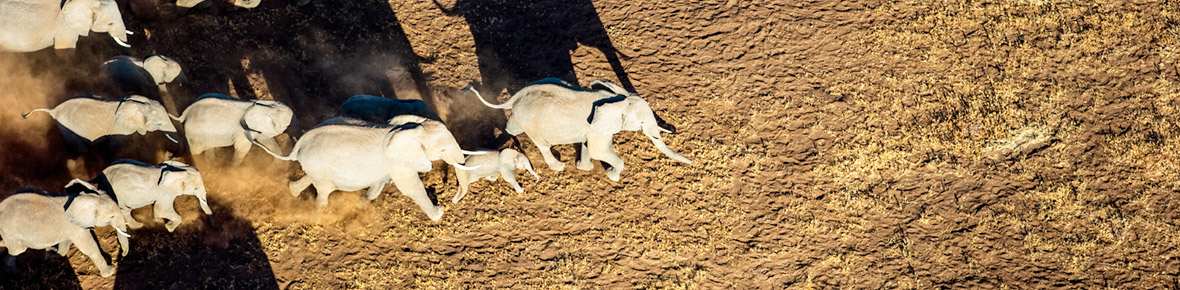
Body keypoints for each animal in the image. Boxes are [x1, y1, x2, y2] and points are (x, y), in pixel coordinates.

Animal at [0, 179, 131, 275]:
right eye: (112, 216)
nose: (121, 257)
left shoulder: (69, 228)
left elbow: (65, 242)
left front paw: (54, 255)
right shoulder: (76, 227)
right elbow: (90, 247)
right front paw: (110, 272)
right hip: (10, 230)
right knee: (18, 250)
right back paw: (15, 272)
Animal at [256, 115, 481, 219]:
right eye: (442, 150)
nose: (449, 201)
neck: (409, 129)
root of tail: (299, 144)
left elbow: (378, 184)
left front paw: (364, 202)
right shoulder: (398, 163)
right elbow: (412, 188)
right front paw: (438, 214)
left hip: (316, 166)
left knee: (316, 181)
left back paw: (293, 191)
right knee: (325, 190)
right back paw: (322, 215)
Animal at [469, 78, 689, 180]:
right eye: (642, 123)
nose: (673, 128)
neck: (617, 99)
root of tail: (516, 97)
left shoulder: (592, 127)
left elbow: (587, 145)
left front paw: (585, 168)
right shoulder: (599, 128)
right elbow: (599, 151)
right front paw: (613, 176)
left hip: (519, 117)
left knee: (512, 129)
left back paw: (490, 146)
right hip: (531, 124)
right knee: (542, 145)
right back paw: (558, 167)